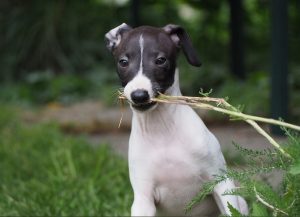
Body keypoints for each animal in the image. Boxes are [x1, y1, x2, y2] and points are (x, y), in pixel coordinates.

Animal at [105, 22, 248, 216]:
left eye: (160, 60)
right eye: (123, 62)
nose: (139, 96)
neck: (162, 130)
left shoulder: (221, 184)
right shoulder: (143, 199)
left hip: (241, 201)